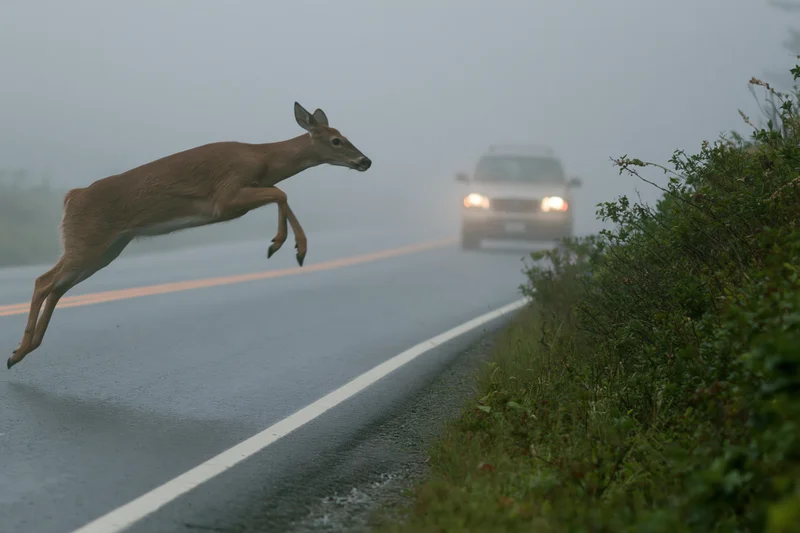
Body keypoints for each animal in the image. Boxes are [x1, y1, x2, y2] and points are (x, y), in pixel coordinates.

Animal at [7, 102, 372, 370]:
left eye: (344, 135)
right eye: (336, 140)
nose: (365, 160)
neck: (263, 159)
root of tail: (72, 197)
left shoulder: (239, 197)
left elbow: (281, 195)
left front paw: (294, 247)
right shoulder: (225, 197)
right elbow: (281, 193)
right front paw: (283, 244)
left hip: (106, 249)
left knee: (57, 287)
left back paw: (22, 351)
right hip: (87, 241)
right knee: (43, 281)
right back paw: (19, 350)